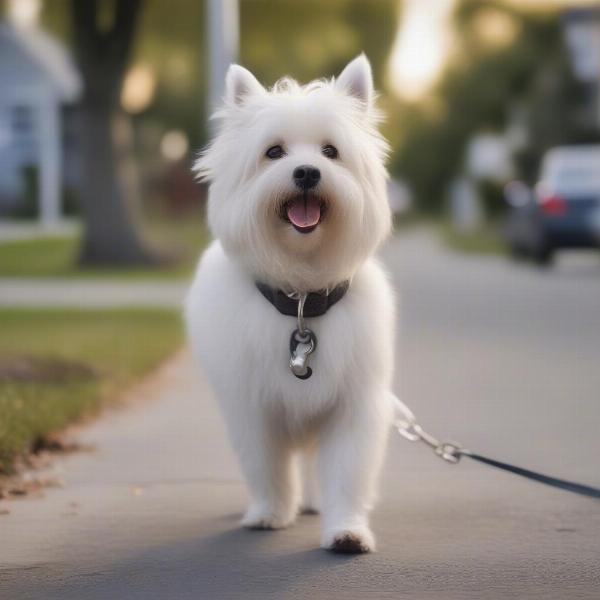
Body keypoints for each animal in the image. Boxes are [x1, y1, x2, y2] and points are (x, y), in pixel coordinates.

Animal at [186, 56, 394, 552]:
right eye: (274, 152)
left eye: (331, 152)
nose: (306, 173)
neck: (301, 299)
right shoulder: (253, 408)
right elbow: (266, 467)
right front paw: (269, 514)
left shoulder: (353, 407)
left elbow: (347, 473)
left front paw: (346, 530)